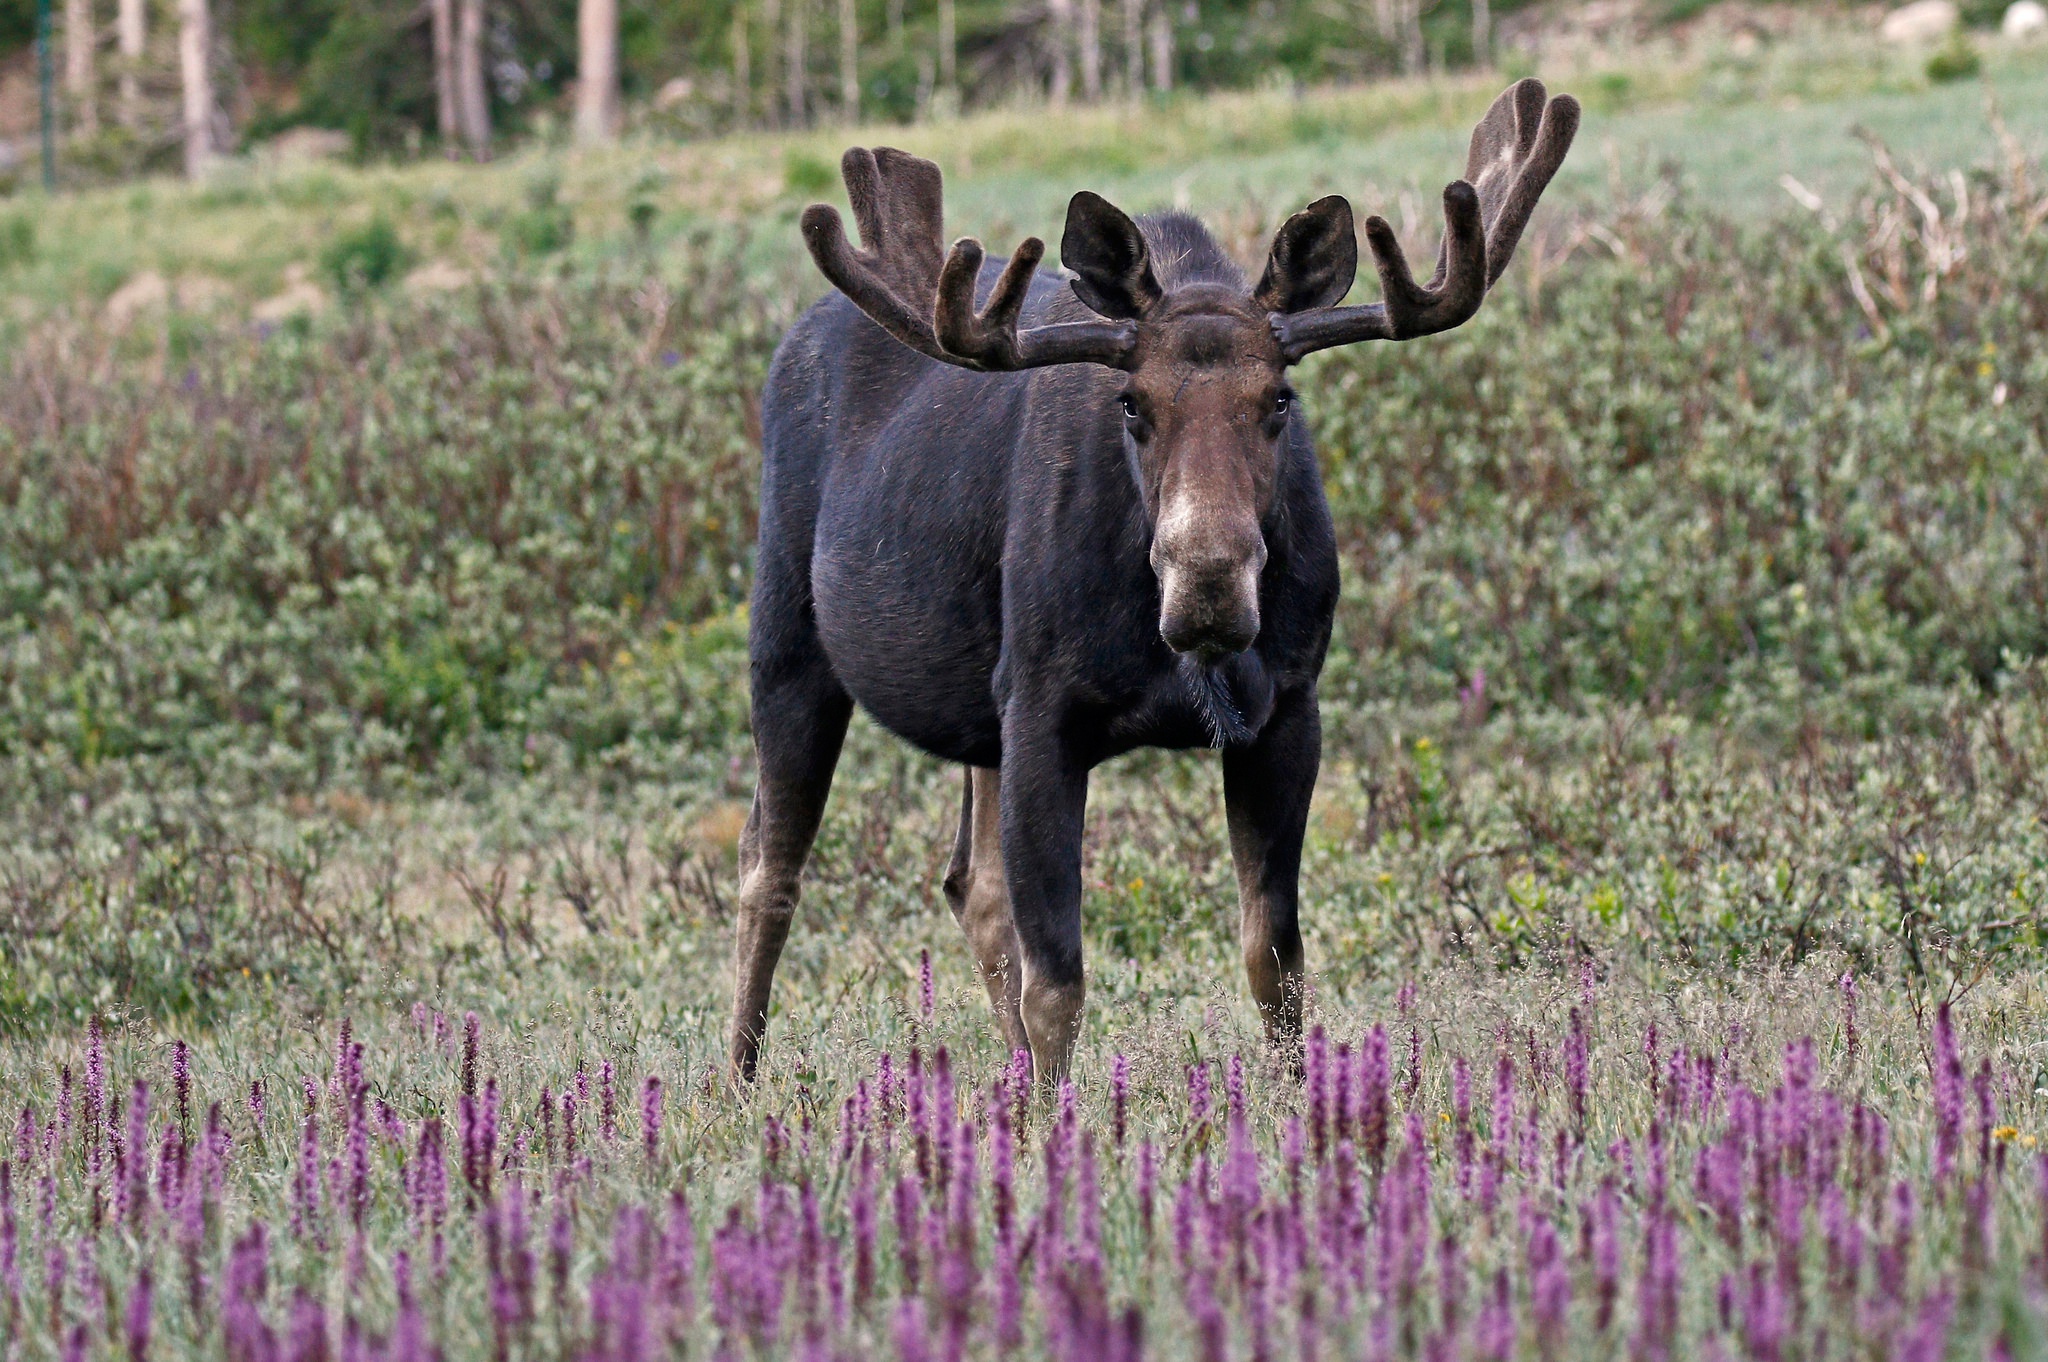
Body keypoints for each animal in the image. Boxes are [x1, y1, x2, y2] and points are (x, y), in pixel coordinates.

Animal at [737, 82, 1581, 1081]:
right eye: (1132, 404)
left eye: (1280, 400)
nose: (1208, 581)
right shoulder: (1043, 709)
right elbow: (1058, 982)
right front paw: (1054, 1119)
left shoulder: (1288, 708)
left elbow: (1275, 959)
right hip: (788, 642)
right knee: (770, 871)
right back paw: (736, 1083)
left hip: (976, 712)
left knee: (969, 886)